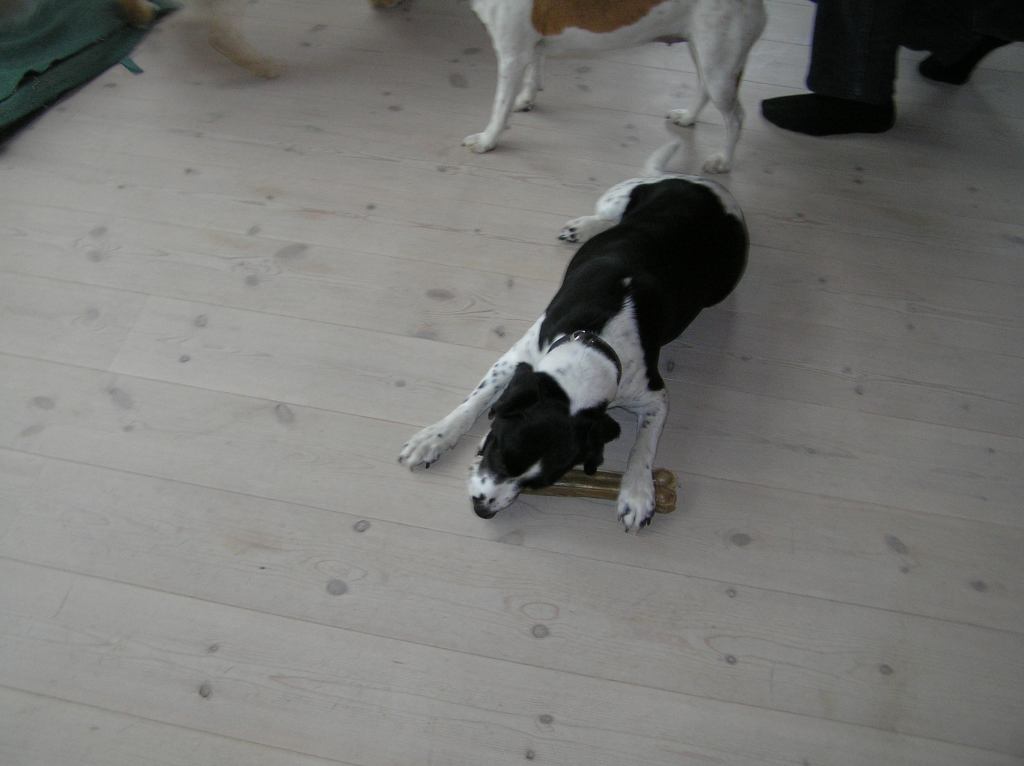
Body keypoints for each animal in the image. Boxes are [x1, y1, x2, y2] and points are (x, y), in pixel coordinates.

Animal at [398, 143, 748, 531]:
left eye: (539, 483)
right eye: (498, 453)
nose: (482, 510)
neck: (592, 343)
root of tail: (698, 182)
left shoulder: (654, 396)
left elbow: (643, 445)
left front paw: (638, 493)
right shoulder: (519, 356)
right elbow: (473, 402)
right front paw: (434, 437)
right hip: (617, 198)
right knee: (608, 214)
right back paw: (583, 227)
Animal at [463, 0, 766, 173]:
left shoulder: (511, 55)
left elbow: (499, 107)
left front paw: (488, 140)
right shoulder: (532, 46)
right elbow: (535, 71)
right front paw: (527, 98)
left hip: (720, 67)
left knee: (736, 118)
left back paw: (723, 161)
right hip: (704, 54)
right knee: (703, 88)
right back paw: (688, 118)